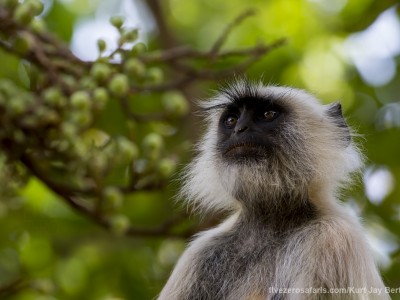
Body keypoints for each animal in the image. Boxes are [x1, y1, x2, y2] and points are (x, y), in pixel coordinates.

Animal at [158, 81, 390, 300]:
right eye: (231, 120)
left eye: (268, 114)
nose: (239, 129)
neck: (269, 224)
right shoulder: (200, 254)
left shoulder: (334, 238)